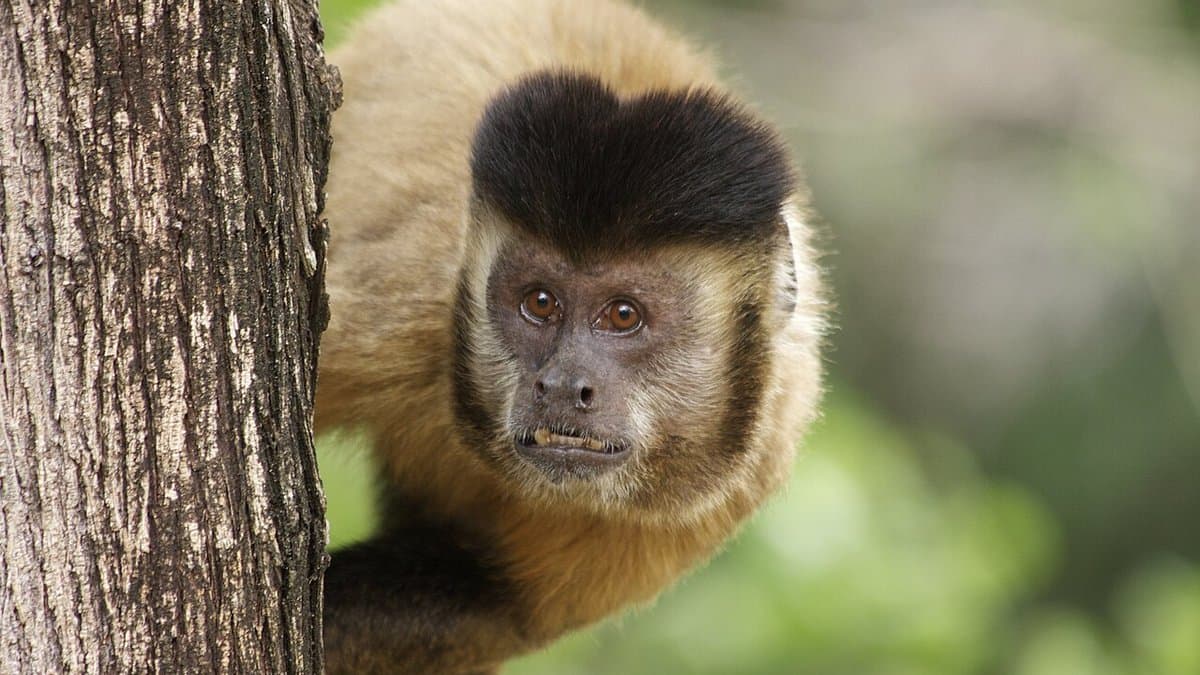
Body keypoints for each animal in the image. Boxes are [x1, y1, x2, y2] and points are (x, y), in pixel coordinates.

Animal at [314, 0, 826, 673]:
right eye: (539, 303)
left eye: (624, 315)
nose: (561, 385)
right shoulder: (406, 310)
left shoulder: (736, 477)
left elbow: (486, 604)